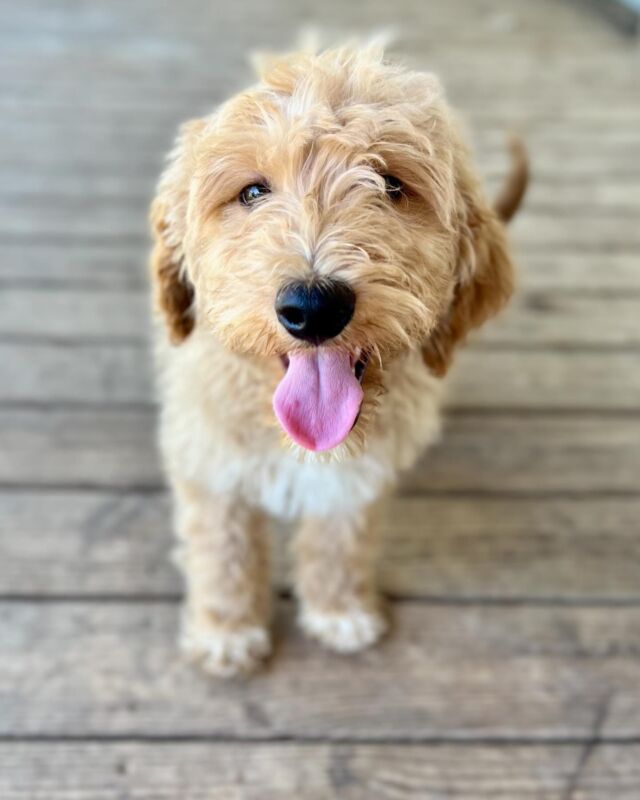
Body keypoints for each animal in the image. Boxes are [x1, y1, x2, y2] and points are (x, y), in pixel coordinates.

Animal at [150, 43, 524, 680]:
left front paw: (338, 611)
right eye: (253, 192)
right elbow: (223, 549)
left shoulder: (356, 477)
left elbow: (339, 541)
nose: (314, 307)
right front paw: (227, 630)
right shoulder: (211, 458)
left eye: (391, 185)